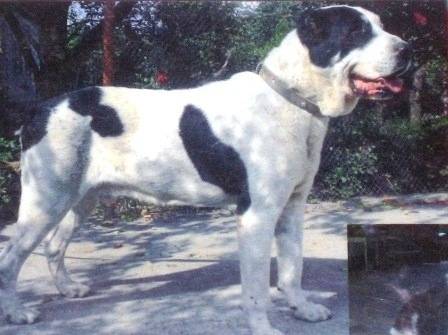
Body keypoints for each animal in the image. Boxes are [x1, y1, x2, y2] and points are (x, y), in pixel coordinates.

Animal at [0, 5, 410, 335]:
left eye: (378, 24)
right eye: (356, 31)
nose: (407, 50)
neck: (291, 99)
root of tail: (40, 109)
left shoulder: (292, 209)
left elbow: (292, 270)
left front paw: (302, 309)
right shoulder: (257, 216)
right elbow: (257, 289)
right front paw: (263, 328)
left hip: (79, 199)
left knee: (54, 246)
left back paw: (68, 289)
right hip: (45, 201)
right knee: (10, 259)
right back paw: (17, 313)